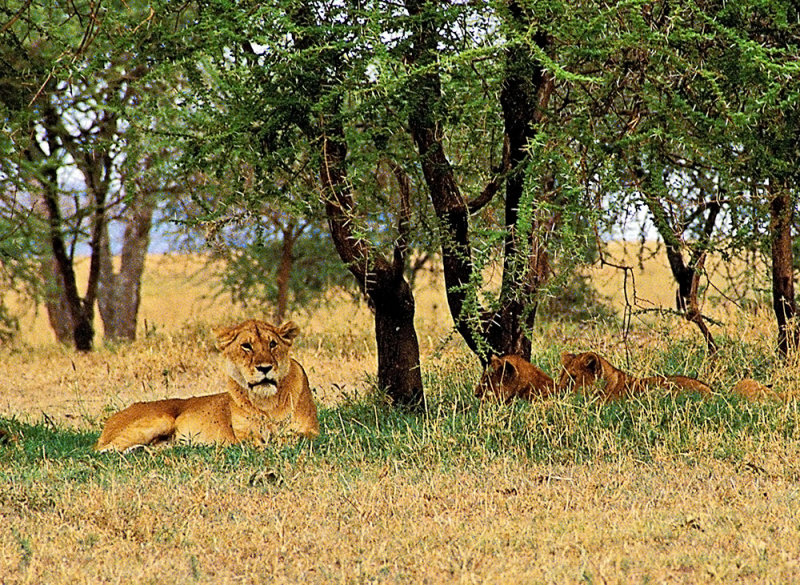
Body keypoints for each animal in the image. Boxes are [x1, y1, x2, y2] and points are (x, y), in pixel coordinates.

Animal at [94, 320, 318, 452]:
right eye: (246, 346)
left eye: (273, 344)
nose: (265, 368)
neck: (267, 401)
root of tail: (112, 418)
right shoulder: (244, 437)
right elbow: (263, 441)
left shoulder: (311, 430)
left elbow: (294, 437)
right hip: (160, 419)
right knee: (103, 449)